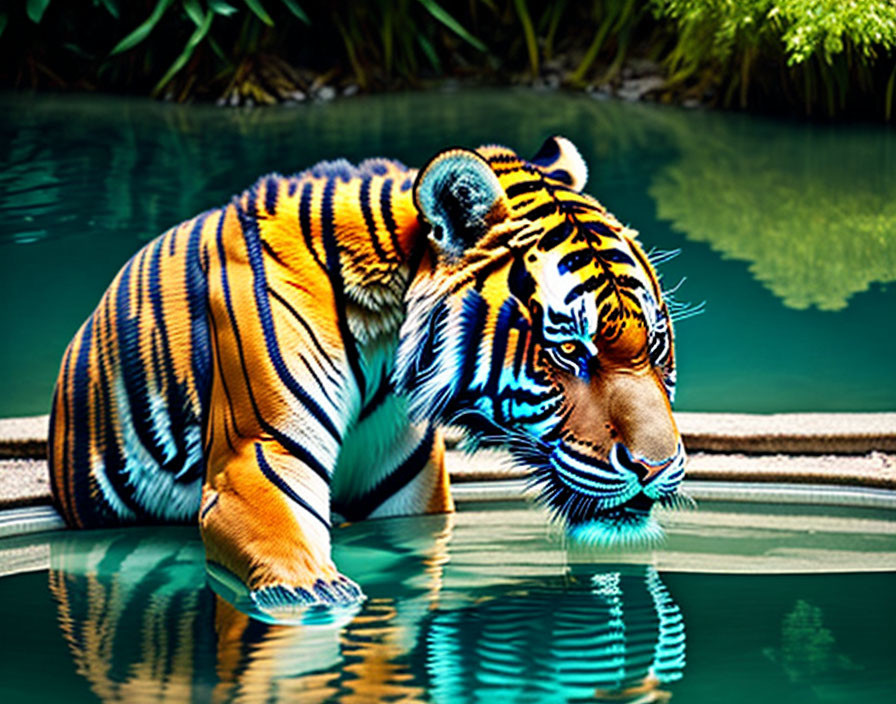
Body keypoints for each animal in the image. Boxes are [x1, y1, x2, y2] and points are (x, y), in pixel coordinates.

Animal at [49, 136, 688, 616]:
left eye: (655, 343)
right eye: (569, 349)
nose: (657, 469)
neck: (388, 333)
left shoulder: (406, 495)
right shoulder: (257, 459)